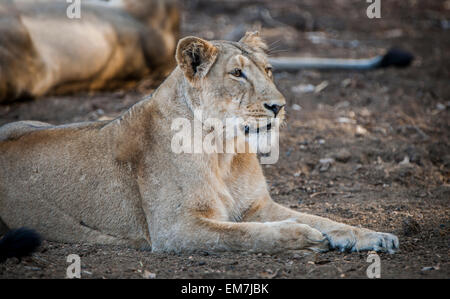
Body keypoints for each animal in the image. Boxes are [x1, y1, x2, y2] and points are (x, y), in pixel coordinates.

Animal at [0, 31, 400, 254]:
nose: (279, 105)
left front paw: (375, 236)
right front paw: (303, 236)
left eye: (268, 70)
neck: (224, 151)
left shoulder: (256, 206)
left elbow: (325, 218)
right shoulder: (176, 229)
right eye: (237, 73)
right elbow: (248, 235)